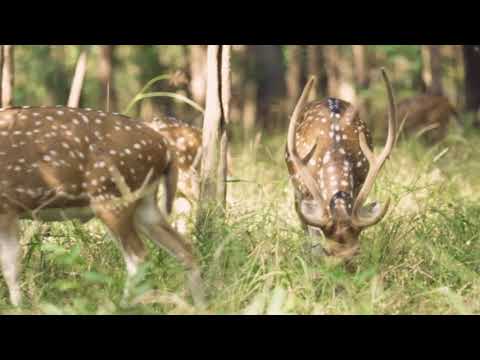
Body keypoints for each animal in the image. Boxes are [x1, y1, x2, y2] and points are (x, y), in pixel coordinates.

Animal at [0, 105, 204, 308]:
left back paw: (122, 306)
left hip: (111, 196)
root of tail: (166, 147)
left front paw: (18, 307)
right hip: (144, 203)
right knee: (184, 248)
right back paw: (199, 303)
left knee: (138, 256)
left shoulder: (7, 205)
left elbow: (11, 265)